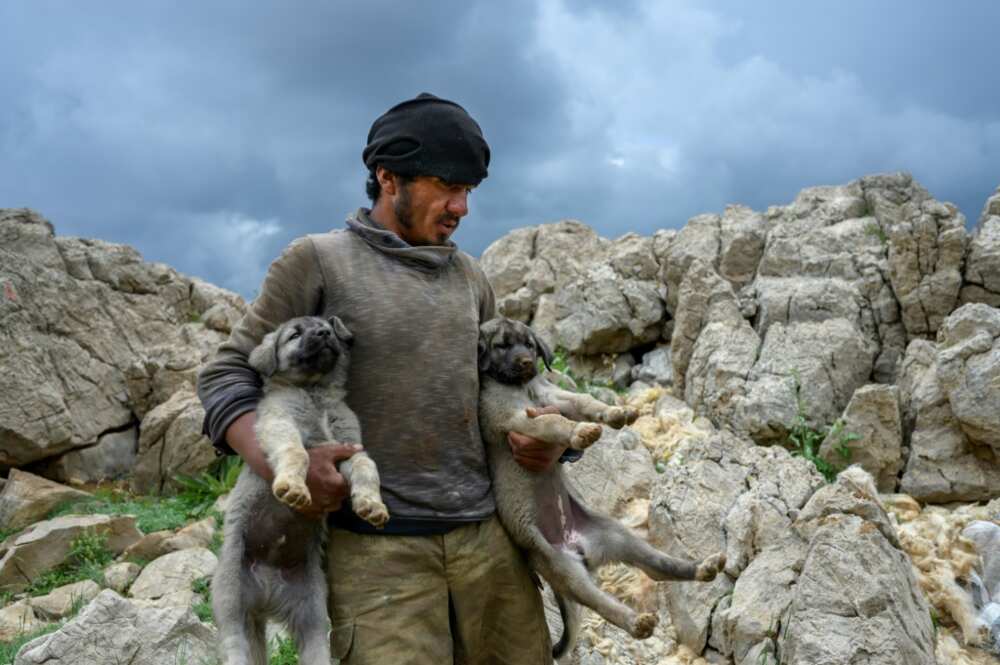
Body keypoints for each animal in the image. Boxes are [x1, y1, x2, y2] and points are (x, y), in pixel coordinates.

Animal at [213, 316, 388, 664]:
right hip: (232, 604)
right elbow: (298, 454)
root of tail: (266, 593)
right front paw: (293, 487)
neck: (314, 392)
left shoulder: (349, 447)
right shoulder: (280, 424)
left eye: (327, 327)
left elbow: (367, 467)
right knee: (235, 645)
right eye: (295, 334)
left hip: (314, 617)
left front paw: (371, 504)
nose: (324, 333)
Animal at [478, 318, 728, 660]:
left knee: (659, 569)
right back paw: (636, 622)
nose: (527, 363)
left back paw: (702, 568)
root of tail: (578, 547)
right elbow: (553, 423)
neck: (520, 386)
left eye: (529, 345)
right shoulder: (514, 417)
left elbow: (583, 401)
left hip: (618, 535)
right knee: (599, 603)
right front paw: (580, 431)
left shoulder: (553, 395)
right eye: (502, 346)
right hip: (561, 567)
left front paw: (614, 413)